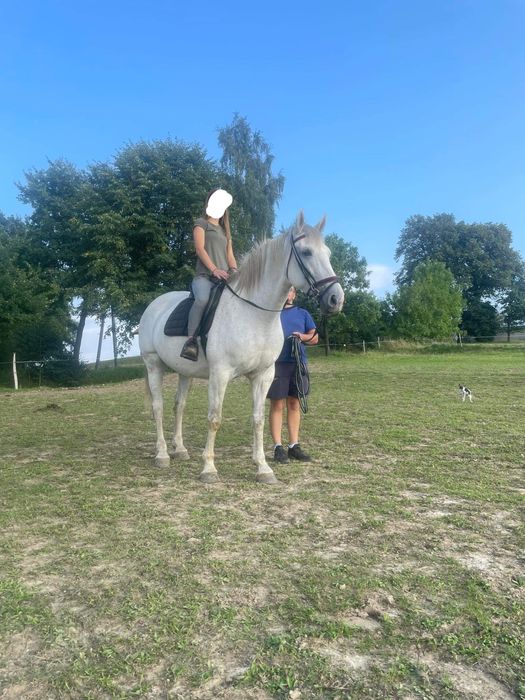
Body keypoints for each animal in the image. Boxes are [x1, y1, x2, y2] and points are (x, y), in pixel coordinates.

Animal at [139, 211, 344, 484]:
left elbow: (258, 420)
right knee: (158, 407)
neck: (253, 314)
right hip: (154, 365)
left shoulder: (263, 375)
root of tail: (155, 305)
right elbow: (214, 419)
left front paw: (263, 468)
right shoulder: (220, 374)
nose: (336, 299)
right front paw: (209, 469)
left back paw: (180, 449)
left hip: (184, 372)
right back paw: (162, 454)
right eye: (307, 252)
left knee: (178, 406)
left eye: (328, 253)